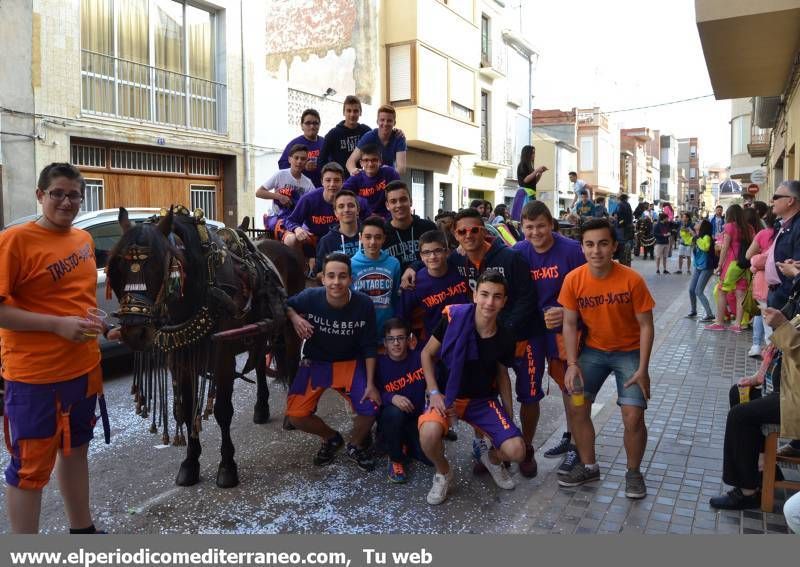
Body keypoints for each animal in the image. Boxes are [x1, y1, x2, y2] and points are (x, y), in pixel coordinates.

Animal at [106, 207, 304, 488]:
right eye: (118, 267)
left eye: (158, 266)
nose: (134, 331)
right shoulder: (178, 360)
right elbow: (187, 410)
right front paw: (190, 463)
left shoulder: (223, 357)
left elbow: (222, 411)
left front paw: (228, 466)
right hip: (258, 331)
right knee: (259, 362)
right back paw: (261, 407)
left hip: (291, 325)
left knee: (294, 361)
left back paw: (291, 414)